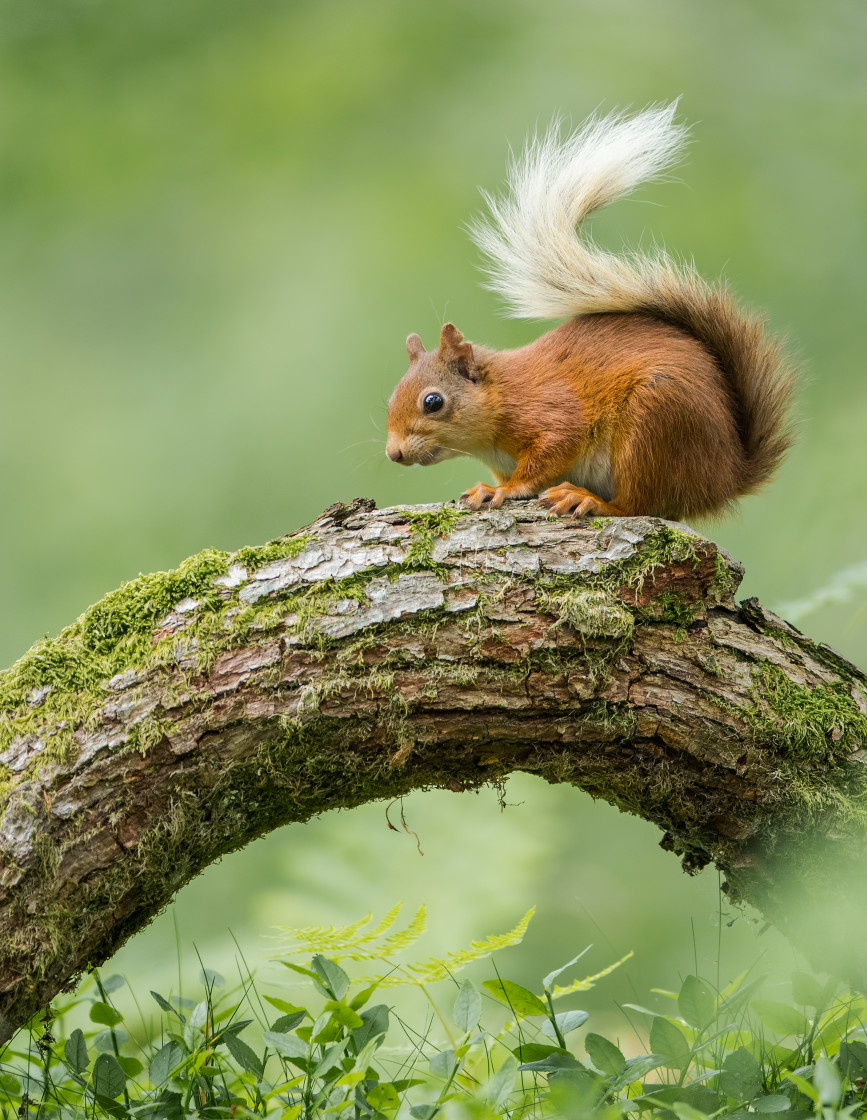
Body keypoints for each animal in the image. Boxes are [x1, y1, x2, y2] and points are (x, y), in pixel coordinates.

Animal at [389, 105, 797, 519]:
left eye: (433, 402)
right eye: (391, 398)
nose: (394, 454)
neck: (502, 394)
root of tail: (727, 477)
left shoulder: (552, 415)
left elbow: (546, 457)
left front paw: (501, 490)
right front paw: (485, 487)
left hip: (654, 426)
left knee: (636, 503)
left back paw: (588, 499)